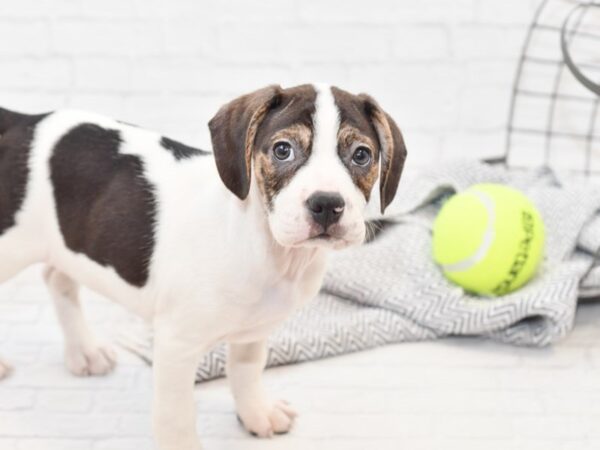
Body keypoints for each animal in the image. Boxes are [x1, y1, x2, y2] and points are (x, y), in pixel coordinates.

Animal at [0, 85, 408, 450]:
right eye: (283, 150)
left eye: (361, 155)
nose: (326, 204)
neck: (267, 247)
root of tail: (23, 122)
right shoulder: (175, 345)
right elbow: (176, 417)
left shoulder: (252, 332)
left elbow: (245, 374)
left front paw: (256, 413)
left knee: (56, 276)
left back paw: (84, 351)